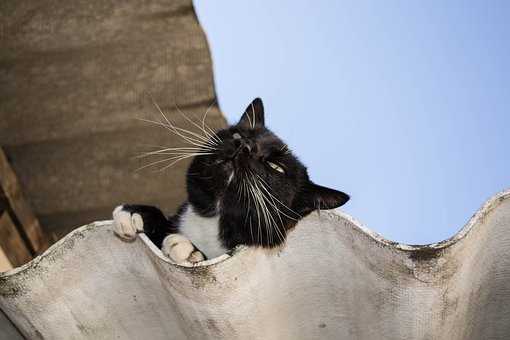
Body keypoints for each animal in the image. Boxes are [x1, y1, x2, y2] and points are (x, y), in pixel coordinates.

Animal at [113, 98, 348, 266]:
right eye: (237, 134)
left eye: (276, 167)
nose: (245, 145)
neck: (213, 221)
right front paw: (135, 213)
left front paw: (189, 250)